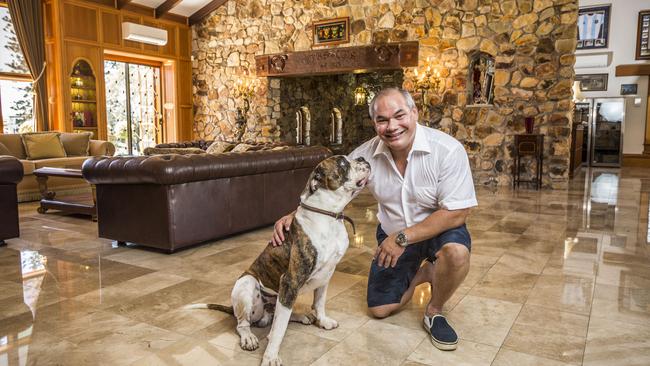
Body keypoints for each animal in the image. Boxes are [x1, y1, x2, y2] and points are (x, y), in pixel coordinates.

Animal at [187, 155, 370, 366]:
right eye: (342, 163)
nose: (362, 158)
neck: (328, 216)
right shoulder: (290, 281)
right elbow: (279, 330)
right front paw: (270, 356)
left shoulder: (326, 274)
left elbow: (319, 302)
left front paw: (322, 321)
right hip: (247, 284)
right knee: (245, 324)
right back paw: (249, 337)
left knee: (278, 314)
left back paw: (300, 316)